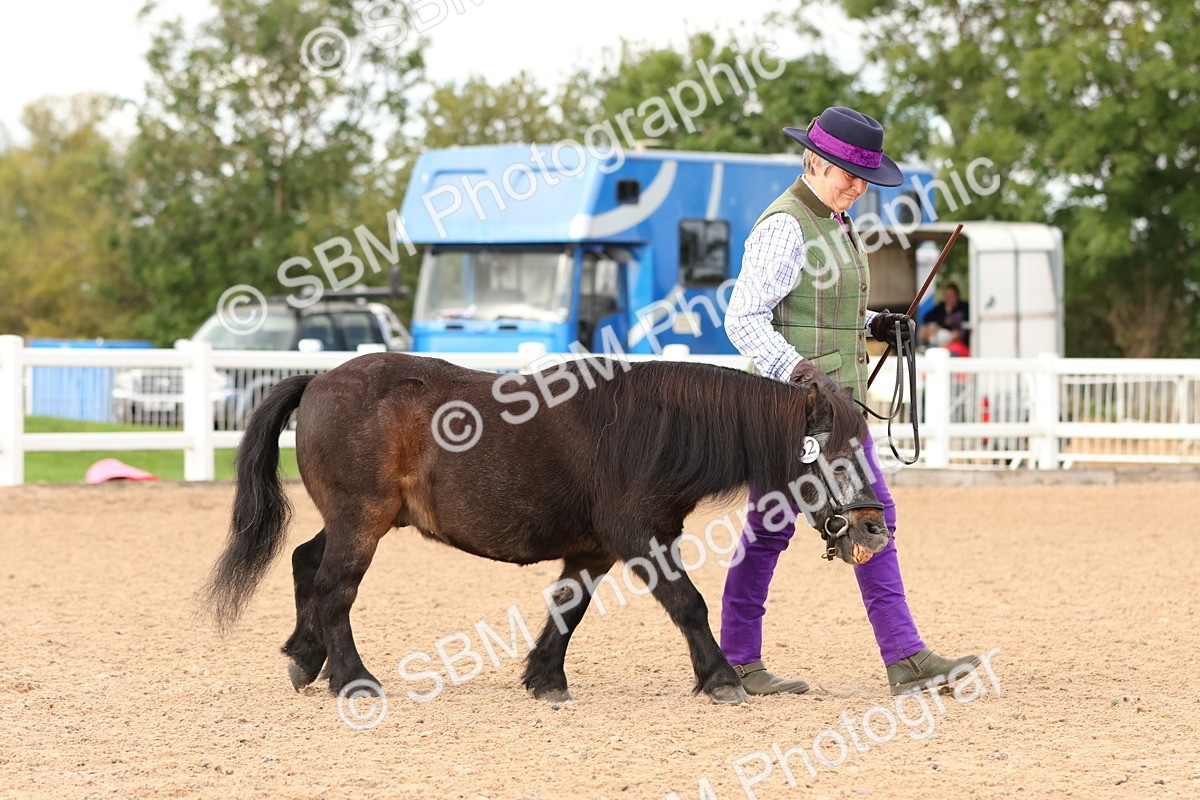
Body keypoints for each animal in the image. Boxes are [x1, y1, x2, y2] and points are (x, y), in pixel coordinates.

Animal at [200, 354, 890, 705]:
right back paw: (351, 679)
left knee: (305, 563)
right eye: (839, 457)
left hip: (356, 520)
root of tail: (317, 379)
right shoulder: (639, 539)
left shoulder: (593, 551)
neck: (653, 427)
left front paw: (544, 678)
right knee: (335, 591)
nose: (875, 530)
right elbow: (688, 604)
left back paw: (304, 656)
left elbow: (568, 609)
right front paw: (720, 678)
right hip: (361, 521)